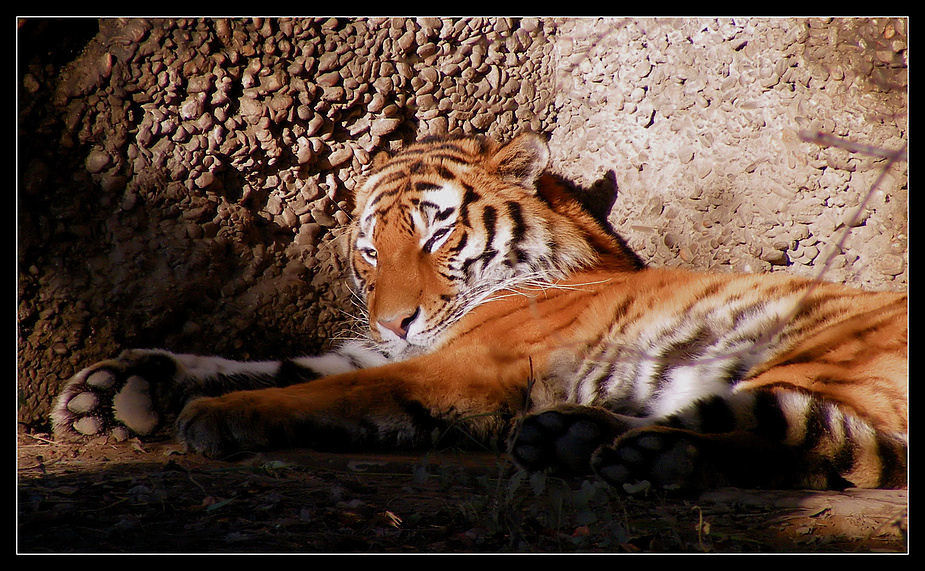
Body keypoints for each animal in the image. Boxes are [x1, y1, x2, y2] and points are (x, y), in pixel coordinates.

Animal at [47, 132, 904, 490]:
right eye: (370, 251)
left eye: (436, 233)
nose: (395, 319)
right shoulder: (382, 349)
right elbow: (269, 363)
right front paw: (114, 386)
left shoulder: (462, 363)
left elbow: (315, 388)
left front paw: (216, 415)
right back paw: (583, 441)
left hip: (819, 352)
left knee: (836, 451)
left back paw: (632, 453)